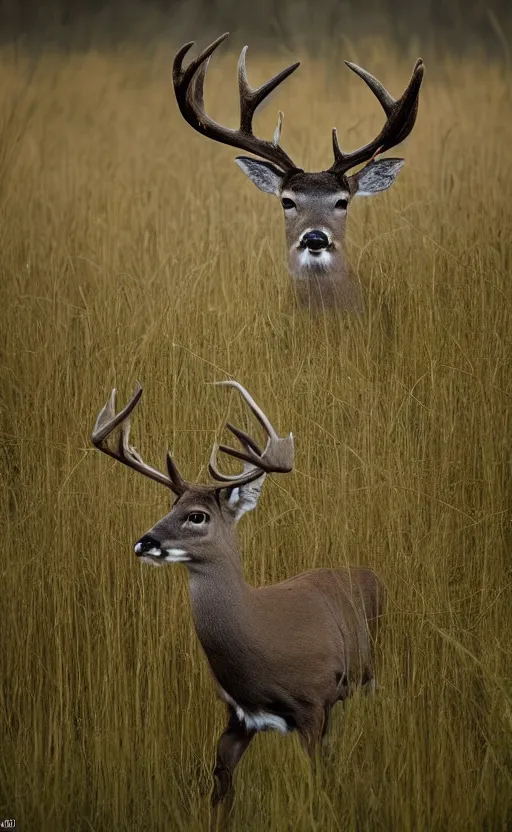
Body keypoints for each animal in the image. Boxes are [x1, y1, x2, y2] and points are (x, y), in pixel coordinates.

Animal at [91, 380, 384, 816]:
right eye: (171, 505)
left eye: (197, 515)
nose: (144, 542)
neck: (258, 634)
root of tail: (372, 573)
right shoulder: (237, 715)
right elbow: (220, 789)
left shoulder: (314, 703)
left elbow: (318, 783)